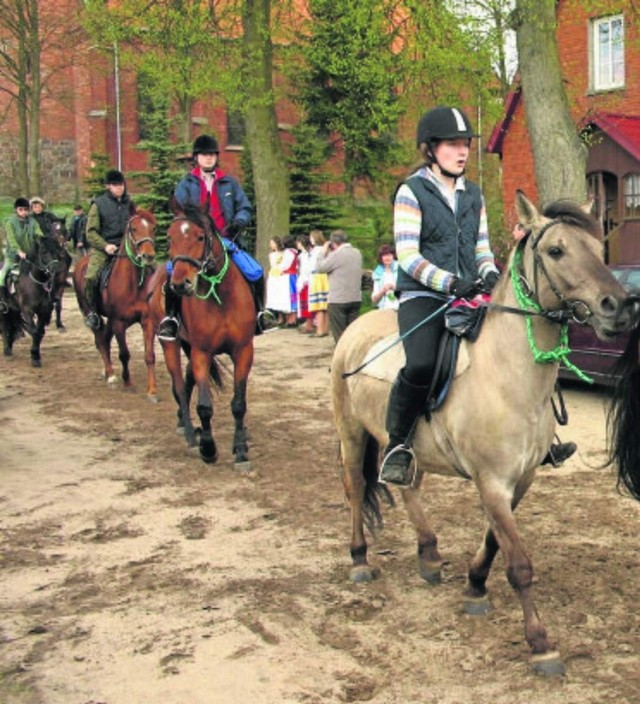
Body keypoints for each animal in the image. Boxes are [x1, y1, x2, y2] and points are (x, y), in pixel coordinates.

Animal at [0, 238, 64, 368]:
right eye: (44, 252)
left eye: (57, 251)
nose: (58, 268)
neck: (34, 283)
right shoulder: (27, 310)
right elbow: (34, 331)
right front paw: (34, 356)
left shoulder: (43, 311)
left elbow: (39, 332)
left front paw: (36, 356)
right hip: (5, 310)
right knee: (4, 326)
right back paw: (7, 349)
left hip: (14, 310)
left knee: (13, 325)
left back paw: (10, 345)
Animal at [71, 208, 158, 396]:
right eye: (133, 228)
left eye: (153, 228)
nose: (147, 256)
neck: (132, 283)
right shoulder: (119, 322)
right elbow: (124, 354)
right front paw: (128, 383)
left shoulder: (147, 321)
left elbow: (149, 355)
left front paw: (152, 390)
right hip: (90, 312)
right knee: (100, 340)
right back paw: (110, 374)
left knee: (105, 339)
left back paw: (107, 371)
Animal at [145, 204, 255, 468]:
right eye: (170, 237)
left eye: (200, 237)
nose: (180, 284)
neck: (221, 295)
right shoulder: (202, 352)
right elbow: (204, 405)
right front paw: (208, 447)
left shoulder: (243, 350)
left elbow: (239, 403)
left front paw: (241, 450)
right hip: (171, 344)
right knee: (179, 386)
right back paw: (188, 432)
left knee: (186, 380)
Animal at [330, 191, 636, 676]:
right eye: (556, 250)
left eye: (598, 248)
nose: (619, 307)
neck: (507, 375)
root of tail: (356, 327)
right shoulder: (491, 482)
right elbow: (519, 563)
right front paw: (540, 643)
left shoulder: (519, 480)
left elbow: (495, 542)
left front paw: (474, 585)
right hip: (351, 432)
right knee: (357, 489)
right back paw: (359, 558)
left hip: (411, 449)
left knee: (408, 486)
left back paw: (429, 554)